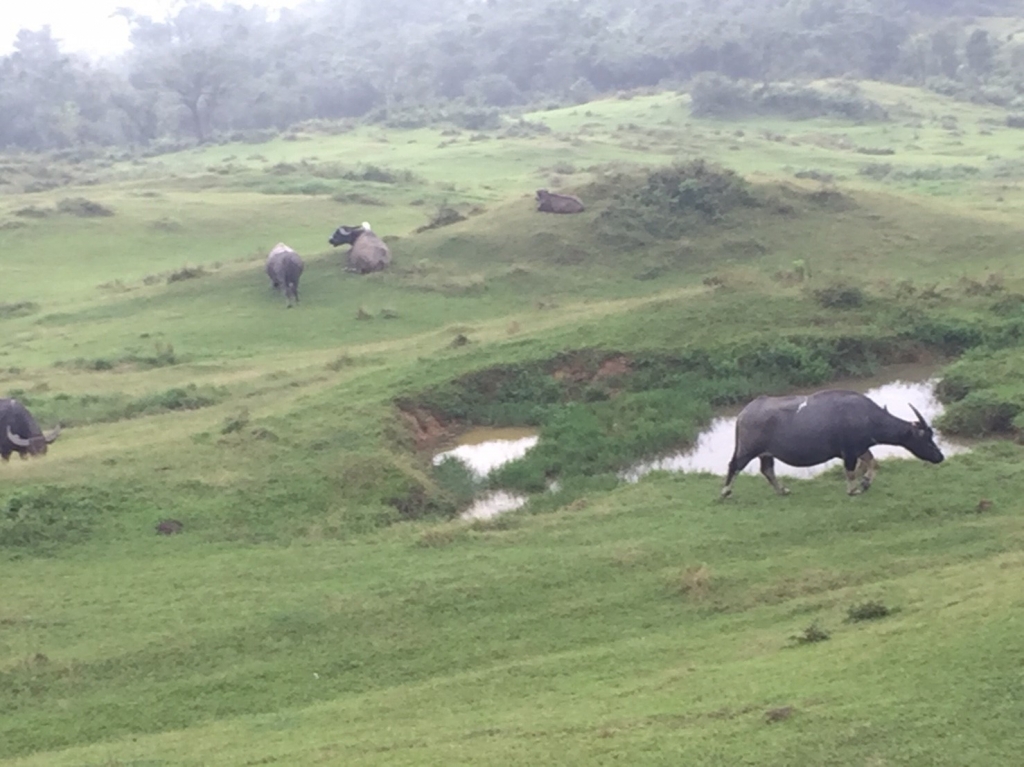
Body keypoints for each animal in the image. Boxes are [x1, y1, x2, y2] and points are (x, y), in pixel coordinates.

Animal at [720, 389, 942, 497]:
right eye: (925, 438)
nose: (940, 457)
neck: (867, 417)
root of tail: (745, 413)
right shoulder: (849, 452)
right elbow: (850, 472)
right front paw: (853, 490)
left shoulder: (861, 448)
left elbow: (873, 463)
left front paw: (866, 482)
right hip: (747, 449)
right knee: (734, 466)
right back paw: (725, 492)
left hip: (766, 453)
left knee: (767, 470)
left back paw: (782, 491)